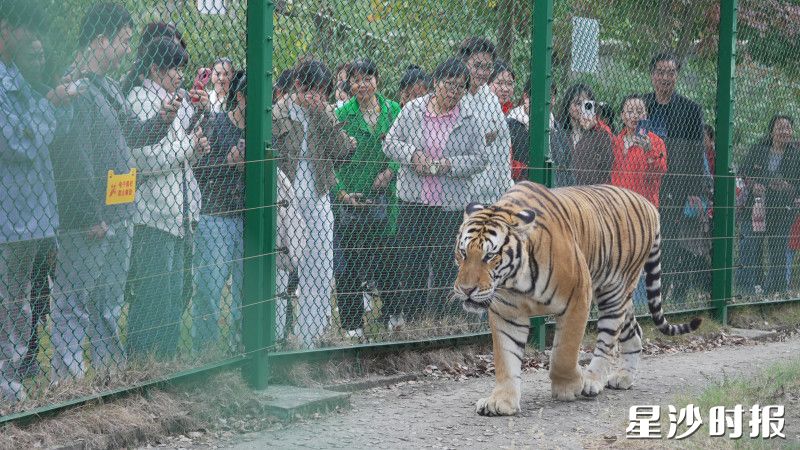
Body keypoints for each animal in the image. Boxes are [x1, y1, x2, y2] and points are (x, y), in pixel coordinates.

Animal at [452, 181, 702, 416]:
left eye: (490, 256)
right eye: (463, 253)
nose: (466, 289)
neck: (515, 281)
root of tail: (648, 204)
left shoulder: (577, 298)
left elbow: (564, 353)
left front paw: (569, 387)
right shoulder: (507, 313)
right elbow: (506, 359)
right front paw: (501, 402)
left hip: (613, 292)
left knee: (607, 341)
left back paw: (592, 381)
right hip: (621, 297)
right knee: (635, 332)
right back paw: (623, 378)